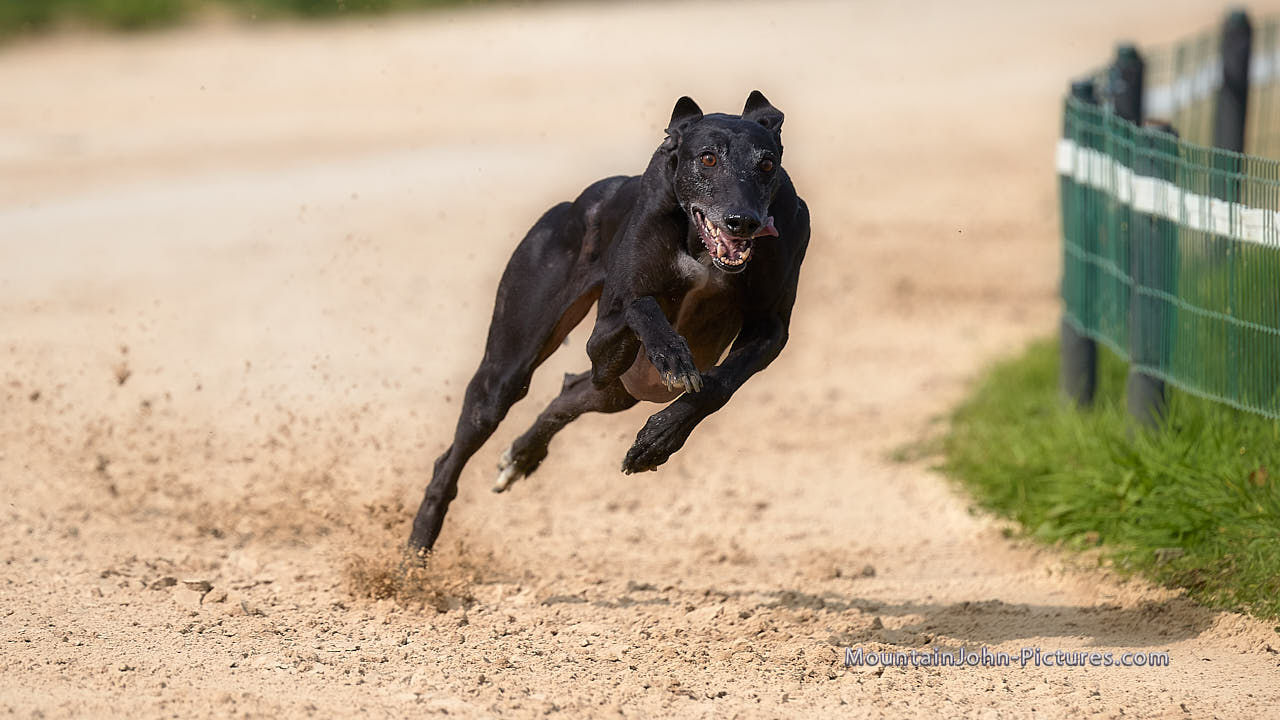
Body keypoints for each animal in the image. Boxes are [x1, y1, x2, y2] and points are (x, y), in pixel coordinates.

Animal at [407, 91, 810, 555]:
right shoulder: (604, 339)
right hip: (508, 368)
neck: (699, 246)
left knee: (571, 392)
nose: (741, 221)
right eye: (707, 158)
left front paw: (657, 441)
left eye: (767, 164)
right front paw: (671, 353)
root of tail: (578, 202)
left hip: (621, 390)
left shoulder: (770, 328)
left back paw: (521, 457)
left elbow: (717, 386)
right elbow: (641, 305)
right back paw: (416, 548)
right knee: (463, 441)